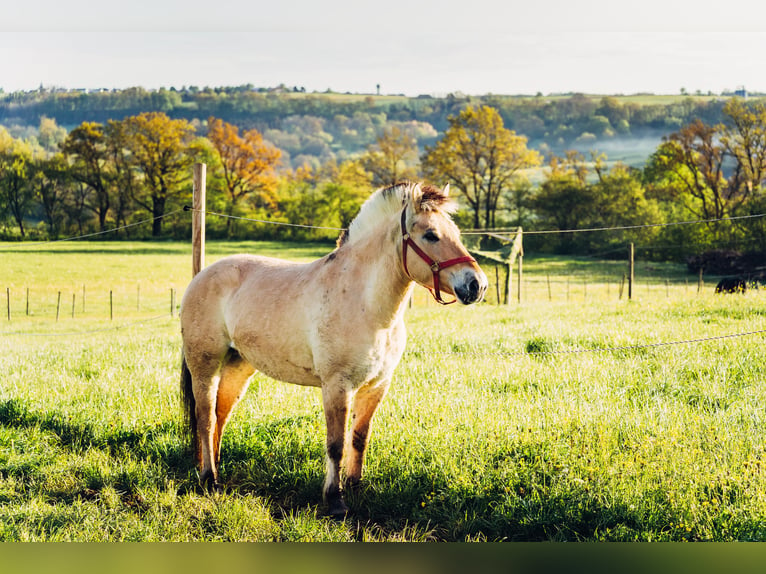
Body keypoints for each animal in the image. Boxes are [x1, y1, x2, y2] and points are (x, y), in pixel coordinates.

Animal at [182, 181, 486, 516]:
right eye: (431, 235)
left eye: (456, 232)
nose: (477, 285)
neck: (365, 304)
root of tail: (201, 276)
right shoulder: (337, 386)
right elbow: (336, 444)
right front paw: (335, 499)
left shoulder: (377, 386)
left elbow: (359, 438)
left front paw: (354, 486)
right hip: (204, 365)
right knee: (205, 417)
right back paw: (209, 479)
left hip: (239, 366)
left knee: (220, 415)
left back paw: (212, 467)